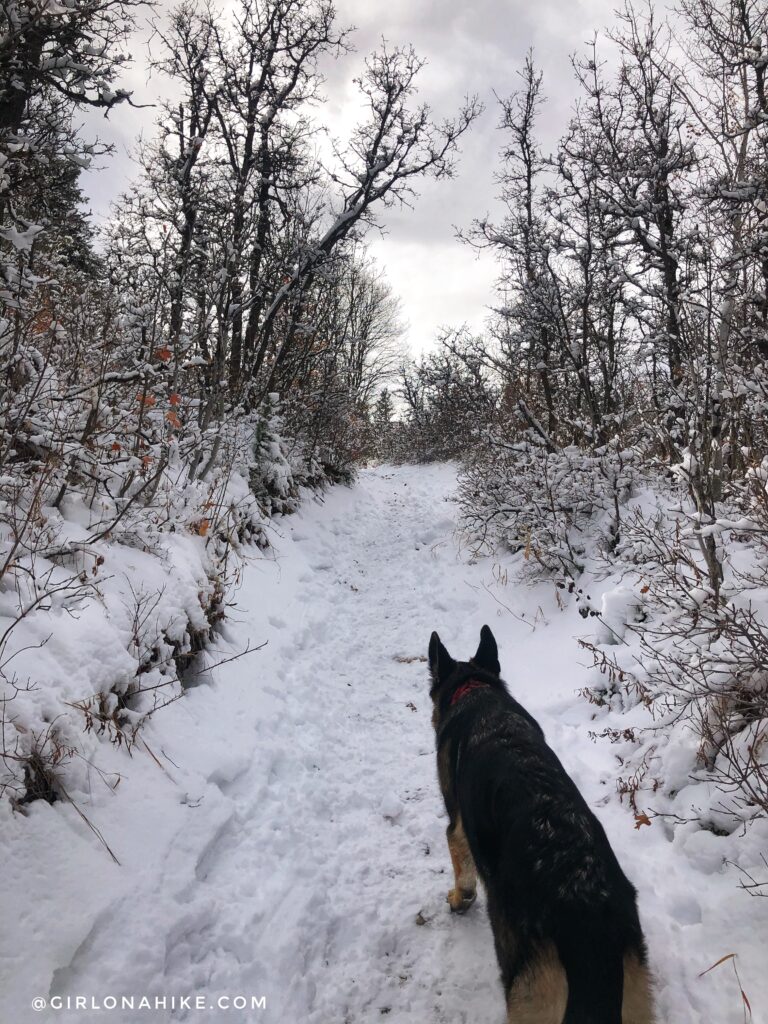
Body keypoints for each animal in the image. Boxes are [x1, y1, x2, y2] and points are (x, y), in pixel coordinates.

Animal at [428, 622, 655, 1024]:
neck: (476, 690)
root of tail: (588, 914)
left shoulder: (456, 828)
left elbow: (462, 871)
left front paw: (459, 900)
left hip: (529, 997)